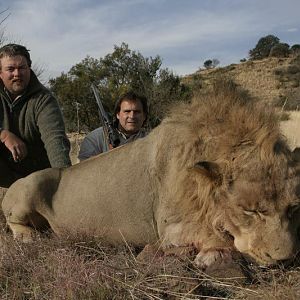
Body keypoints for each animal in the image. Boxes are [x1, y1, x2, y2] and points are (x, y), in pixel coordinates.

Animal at [2, 82, 300, 270]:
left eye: (293, 209)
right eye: (250, 211)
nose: (284, 259)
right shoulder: (169, 229)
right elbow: (215, 237)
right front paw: (211, 254)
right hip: (30, 185)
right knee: (14, 221)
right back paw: (29, 238)